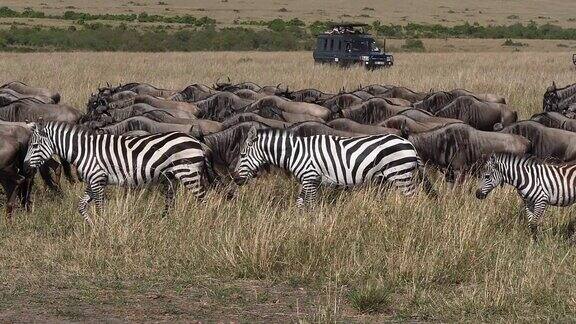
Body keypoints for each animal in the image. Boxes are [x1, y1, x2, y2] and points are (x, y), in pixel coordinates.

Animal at [24, 120, 212, 224]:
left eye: (34, 145)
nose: (25, 167)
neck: (85, 151)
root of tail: (196, 141)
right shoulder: (94, 181)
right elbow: (81, 206)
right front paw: (93, 226)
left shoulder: (97, 179)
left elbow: (100, 207)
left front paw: (103, 228)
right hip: (172, 177)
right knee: (171, 201)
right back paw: (165, 223)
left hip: (188, 173)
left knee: (203, 200)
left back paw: (202, 224)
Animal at [232, 126, 434, 205]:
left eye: (242, 155)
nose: (234, 179)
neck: (295, 152)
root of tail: (409, 144)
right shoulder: (306, 181)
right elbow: (300, 204)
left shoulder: (310, 177)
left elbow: (311, 205)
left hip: (401, 175)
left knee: (413, 199)